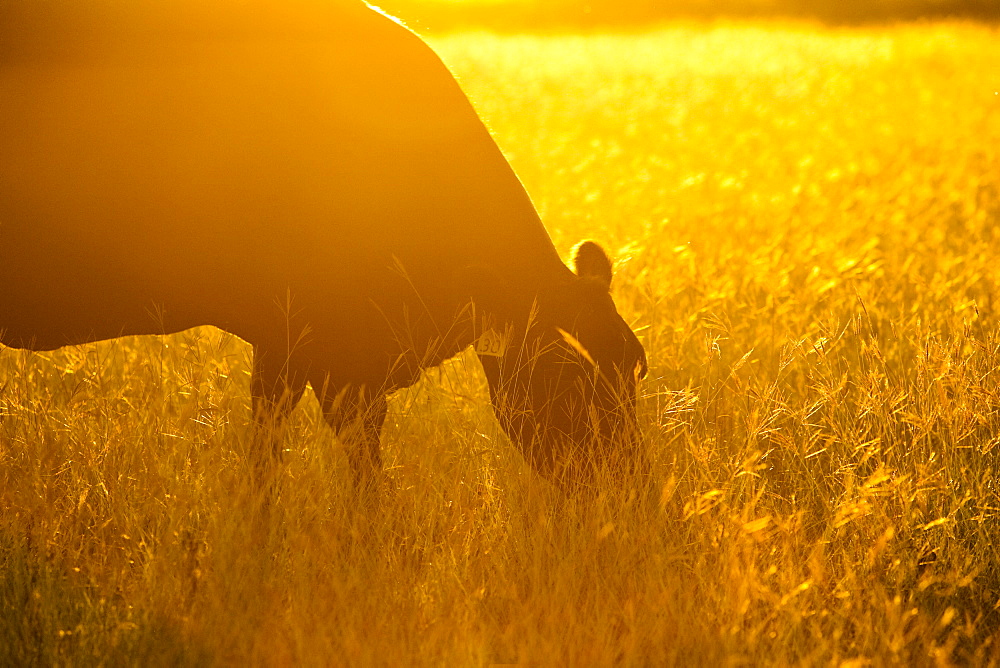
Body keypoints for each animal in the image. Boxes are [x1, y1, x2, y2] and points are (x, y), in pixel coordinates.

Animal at [0, 1, 648, 490]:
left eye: (636, 368)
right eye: (567, 378)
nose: (625, 484)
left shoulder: (296, 345)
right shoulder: (325, 350)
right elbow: (347, 468)